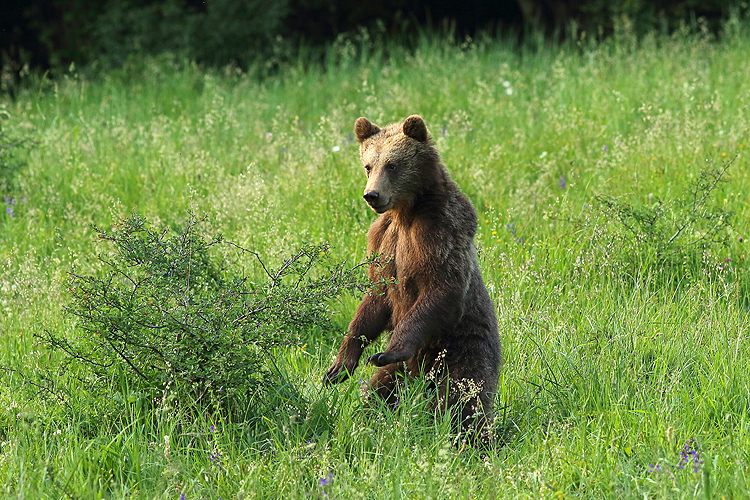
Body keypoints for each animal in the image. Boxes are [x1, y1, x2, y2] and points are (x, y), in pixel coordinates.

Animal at [324, 114, 506, 442]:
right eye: (368, 165)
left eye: (392, 165)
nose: (372, 195)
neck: (407, 212)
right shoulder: (383, 241)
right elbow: (375, 298)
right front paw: (339, 366)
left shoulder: (439, 232)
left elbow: (441, 288)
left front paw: (388, 350)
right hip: (401, 375)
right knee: (379, 393)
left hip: (461, 353)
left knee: (463, 402)